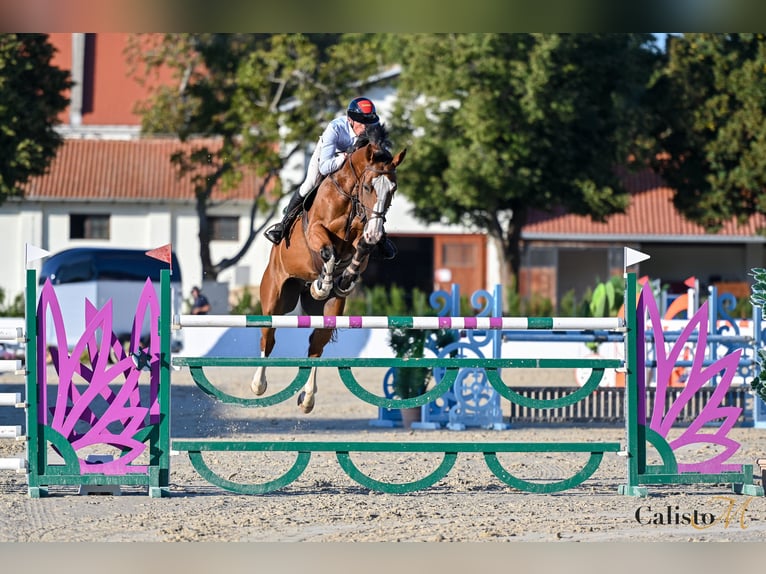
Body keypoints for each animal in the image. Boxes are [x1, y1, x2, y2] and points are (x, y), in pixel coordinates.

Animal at [253, 123, 406, 413]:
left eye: (392, 190)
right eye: (368, 186)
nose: (376, 231)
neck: (350, 197)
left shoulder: (361, 237)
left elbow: (361, 250)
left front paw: (344, 279)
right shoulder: (316, 231)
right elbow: (328, 251)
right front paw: (322, 284)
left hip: (329, 311)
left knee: (316, 344)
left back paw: (307, 398)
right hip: (275, 297)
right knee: (269, 335)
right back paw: (258, 384)